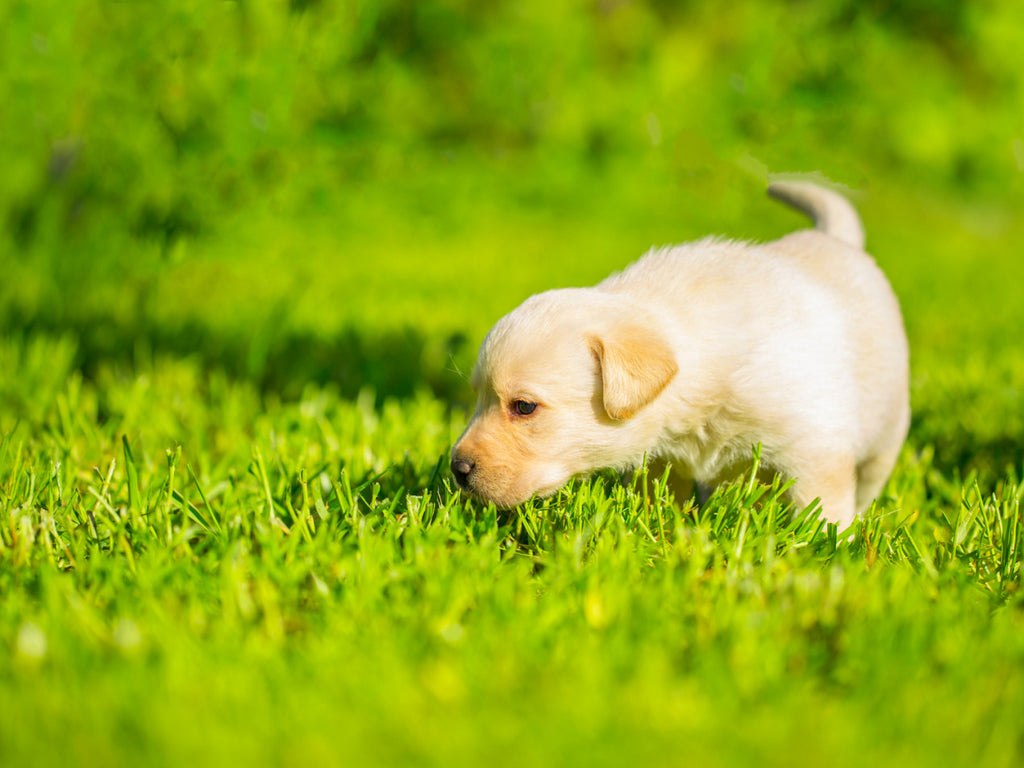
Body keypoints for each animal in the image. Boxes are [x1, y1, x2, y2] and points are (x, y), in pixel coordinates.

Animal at [452, 182, 909, 528]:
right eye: (476, 397)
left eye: (524, 407)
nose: (457, 469)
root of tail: (836, 237)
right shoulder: (664, 460)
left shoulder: (814, 448)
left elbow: (822, 512)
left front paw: (827, 550)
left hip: (887, 433)